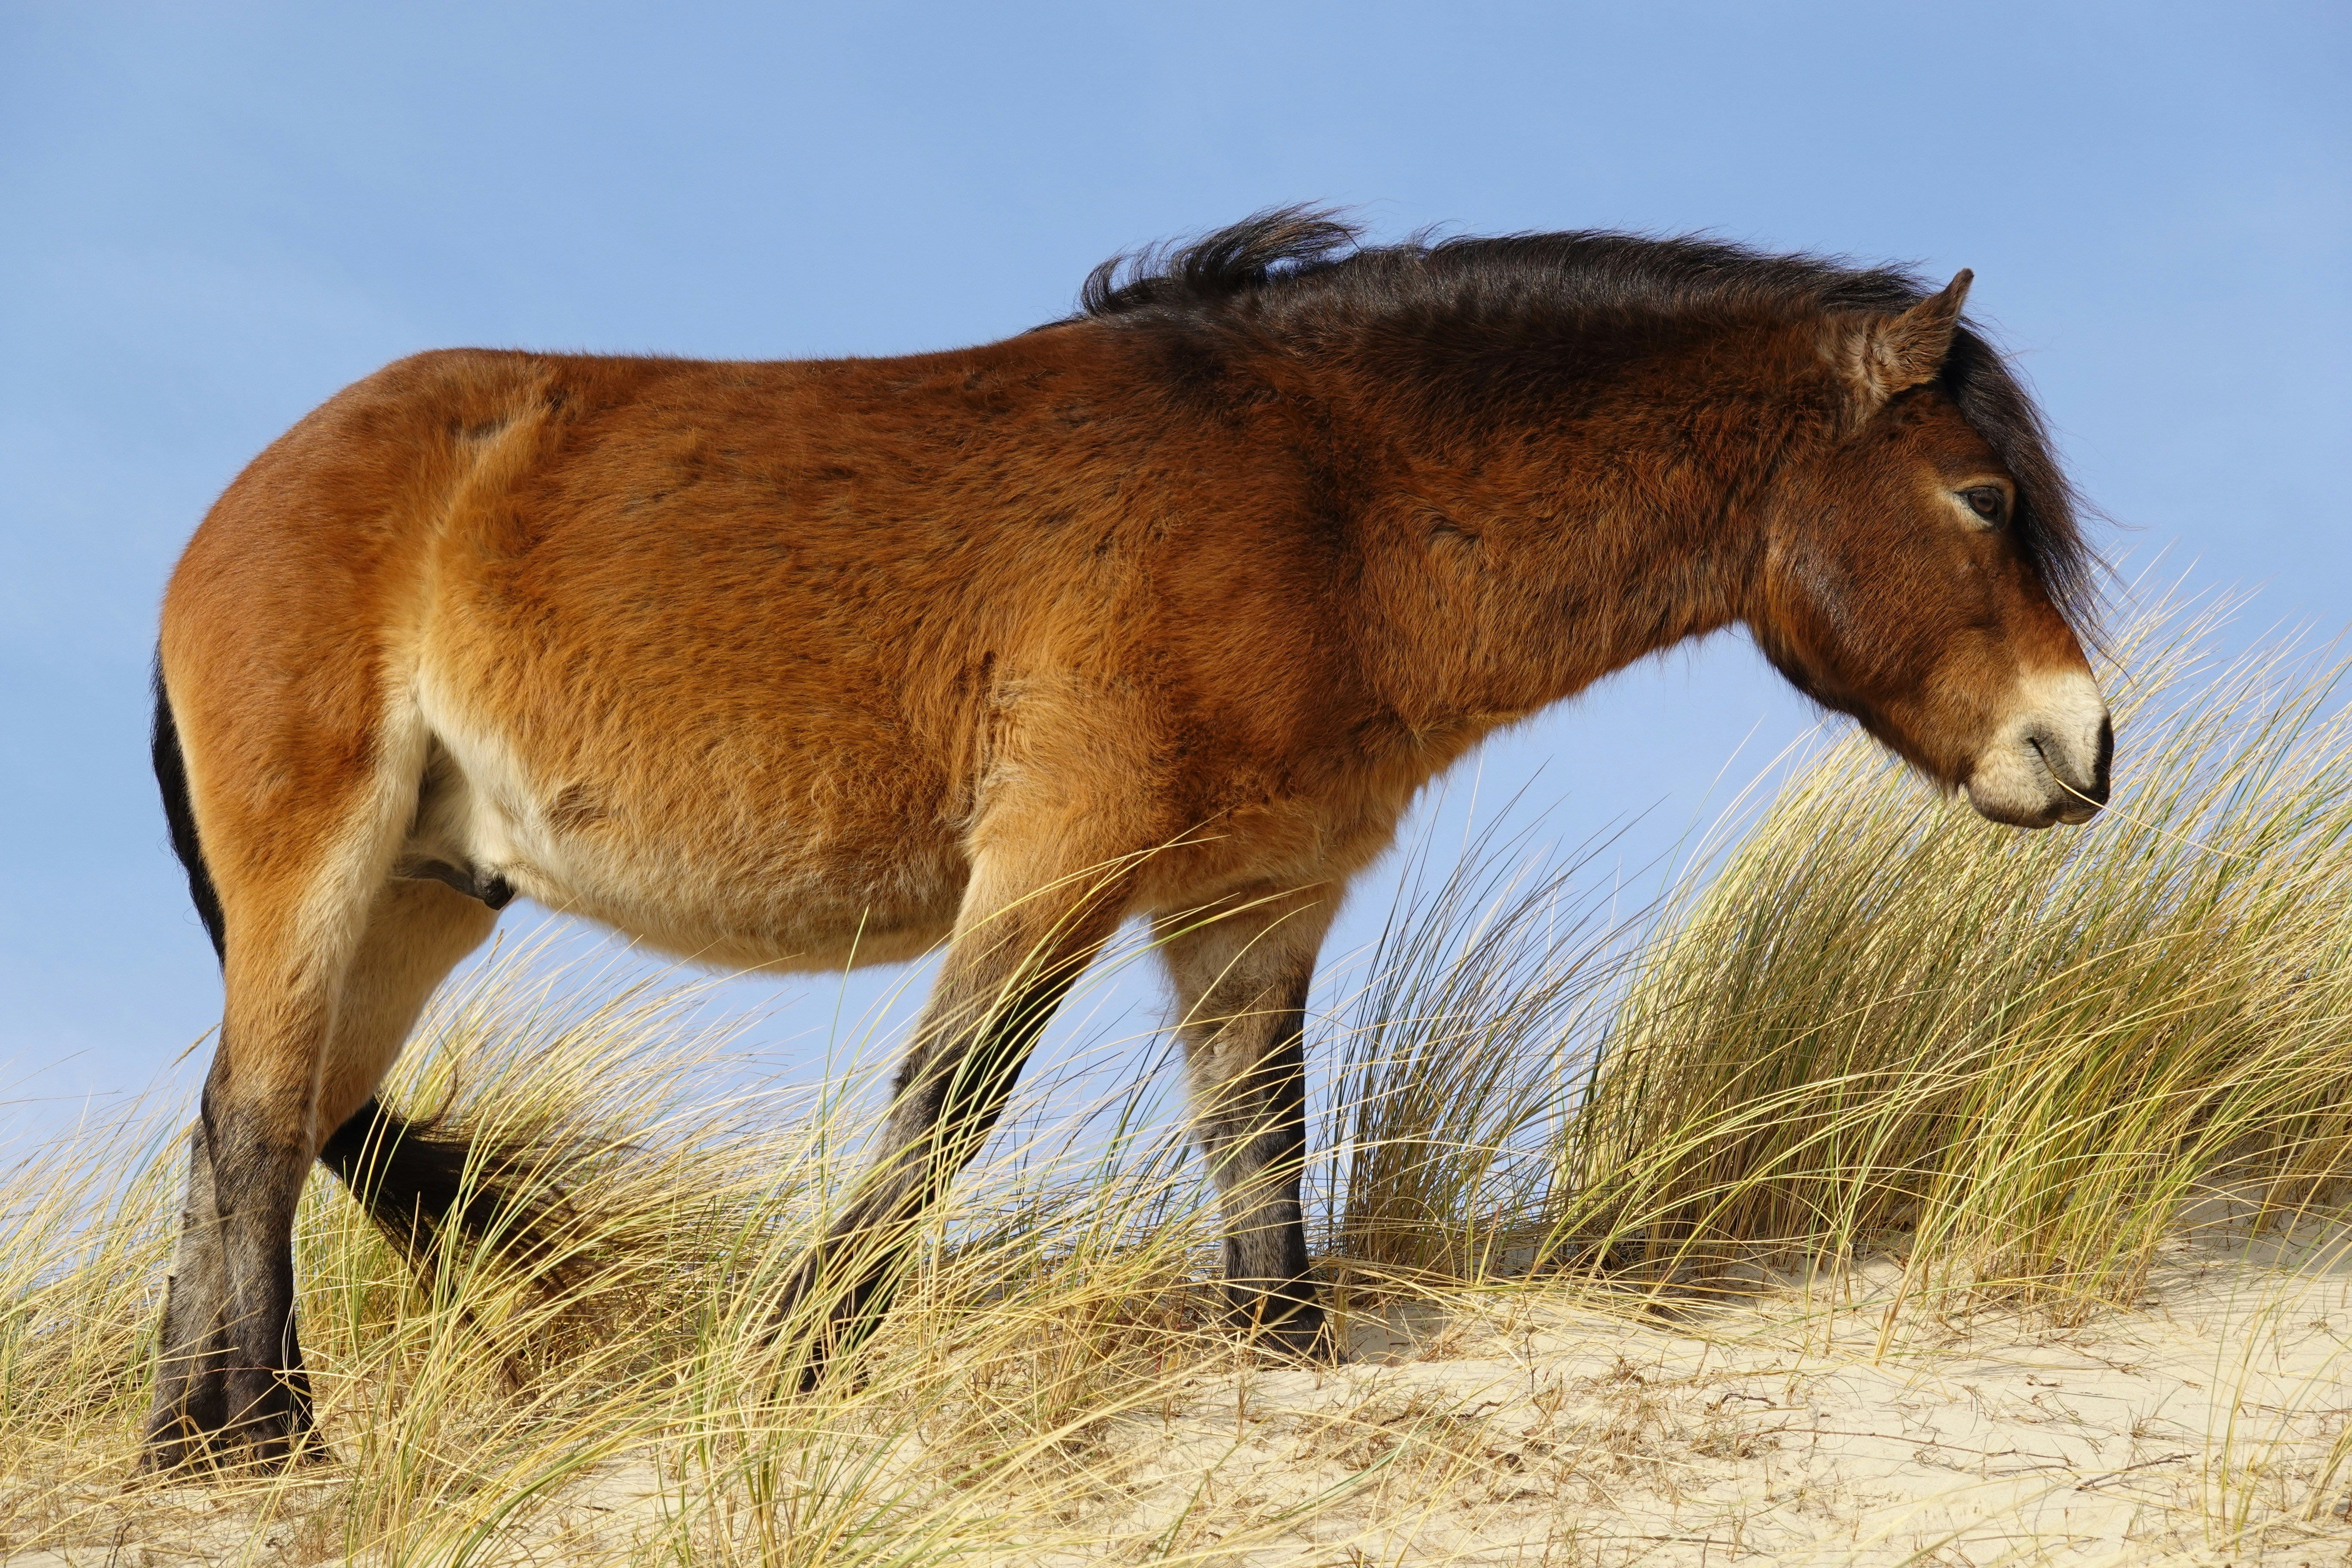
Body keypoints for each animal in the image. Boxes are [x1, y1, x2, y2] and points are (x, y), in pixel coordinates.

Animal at [143, 208, 2110, 1469]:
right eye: (1981, 498)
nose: (2081, 749)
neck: (1334, 498)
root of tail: (249, 498)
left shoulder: (1251, 905)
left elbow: (1258, 1156)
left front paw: (1279, 1370)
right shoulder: (1062, 861)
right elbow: (942, 1117)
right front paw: (791, 1369)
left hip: (425, 897)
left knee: (276, 1122)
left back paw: (233, 1430)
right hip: (323, 867)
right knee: (252, 1120)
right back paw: (233, 1451)